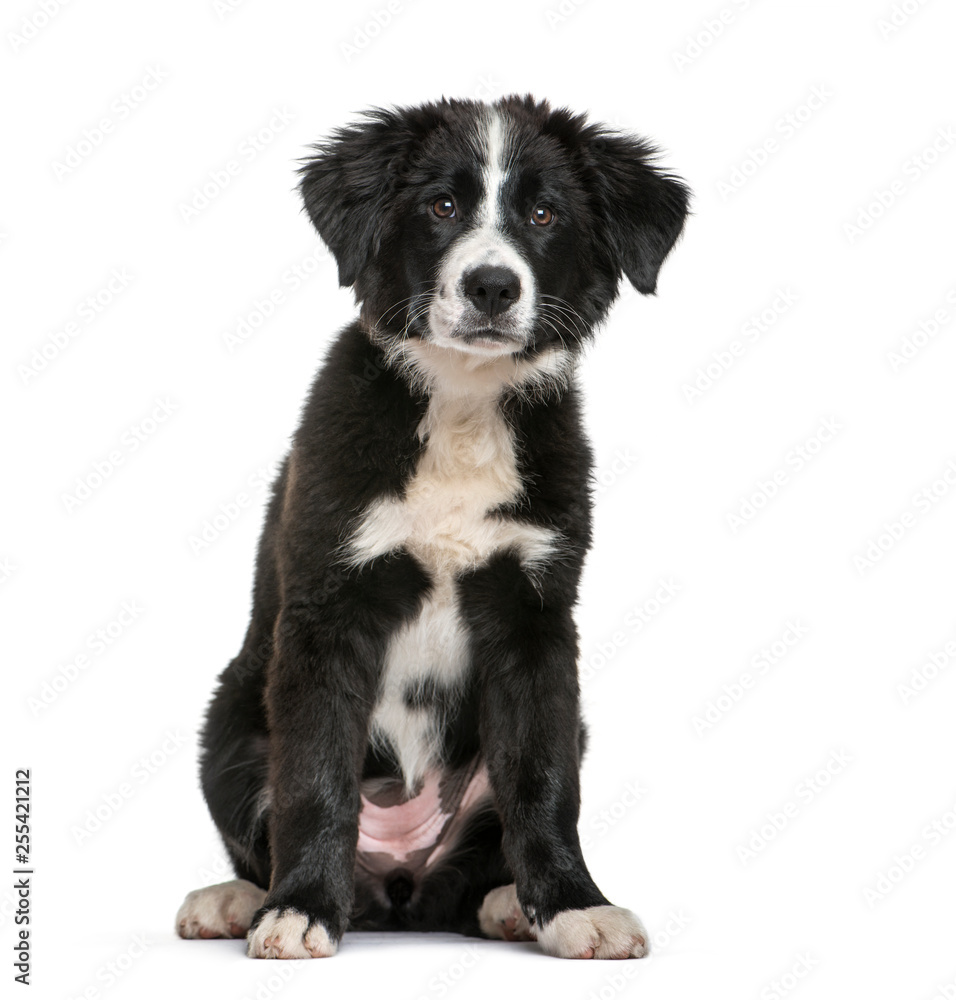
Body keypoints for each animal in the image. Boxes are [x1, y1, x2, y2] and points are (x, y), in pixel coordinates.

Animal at [176, 95, 688, 960]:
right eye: (442, 207)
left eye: (545, 214)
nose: (491, 287)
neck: (462, 403)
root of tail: (397, 888)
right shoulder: (326, 607)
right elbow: (314, 776)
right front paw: (299, 908)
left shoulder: (536, 618)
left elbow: (543, 783)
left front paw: (573, 904)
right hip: (230, 725)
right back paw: (240, 898)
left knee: (474, 861)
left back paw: (507, 904)